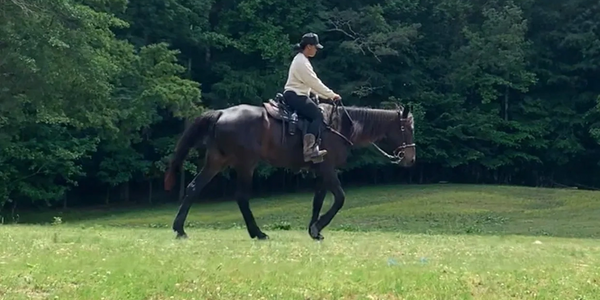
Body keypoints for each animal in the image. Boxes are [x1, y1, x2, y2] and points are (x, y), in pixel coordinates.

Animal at [164, 95, 418, 240]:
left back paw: (180, 229)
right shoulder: (328, 169)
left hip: (217, 161)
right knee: (242, 197)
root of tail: (221, 113)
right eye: (407, 128)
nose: (411, 158)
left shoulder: (320, 171)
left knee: (194, 188)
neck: (341, 125)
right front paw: (318, 228)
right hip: (246, 163)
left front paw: (314, 230)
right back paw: (258, 233)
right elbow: (339, 198)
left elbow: (318, 201)